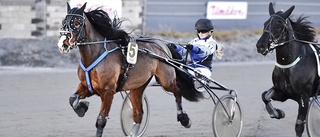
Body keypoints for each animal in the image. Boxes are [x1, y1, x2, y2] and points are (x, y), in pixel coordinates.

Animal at [56, 2, 204, 137]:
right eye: (63, 22)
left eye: (77, 23)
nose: (63, 44)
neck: (95, 55)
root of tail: (163, 44)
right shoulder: (87, 86)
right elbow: (72, 99)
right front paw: (83, 107)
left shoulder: (108, 92)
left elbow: (101, 120)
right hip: (137, 87)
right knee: (138, 113)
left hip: (166, 80)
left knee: (177, 91)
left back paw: (184, 119)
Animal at [255, 2, 320, 137]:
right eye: (265, 23)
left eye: (278, 25)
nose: (260, 45)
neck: (290, 66)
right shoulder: (282, 93)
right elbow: (265, 96)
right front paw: (276, 112)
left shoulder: (304, 97)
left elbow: (299, 126)